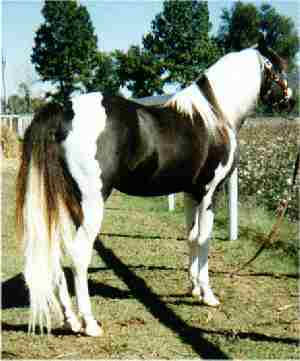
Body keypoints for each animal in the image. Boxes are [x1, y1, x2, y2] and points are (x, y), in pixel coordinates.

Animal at [15, 38, 292, 334]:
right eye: (279, 68)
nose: (290, 100)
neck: (215, 114)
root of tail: (64, 111)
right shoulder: (210, 192)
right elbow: (204, 240)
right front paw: (208, 295)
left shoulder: (191, 194)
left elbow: (191, 237)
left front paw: (194, 288)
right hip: (91, 202)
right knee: (79, 254)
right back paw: (89, 323)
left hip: (65, 202)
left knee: (56, 249)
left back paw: (71, 319)